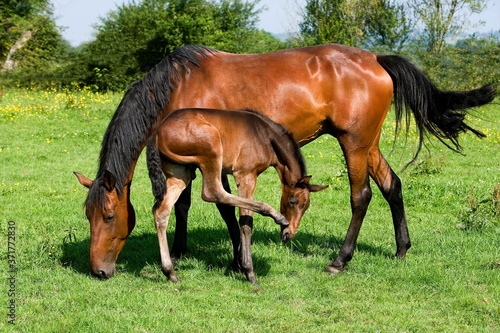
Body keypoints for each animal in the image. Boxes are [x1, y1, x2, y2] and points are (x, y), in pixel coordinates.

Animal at [146, 107, 326, 282]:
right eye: (292, 202)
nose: (289, 234)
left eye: (305, 207)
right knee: (212, 192)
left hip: (179, 172)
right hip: (211, 148)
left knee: (161, 211)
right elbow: (246, 222)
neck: (265, 135)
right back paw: (276, 215)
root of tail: (157, 132)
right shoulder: (246, 175)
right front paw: (249, 271)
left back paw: (170, 272)